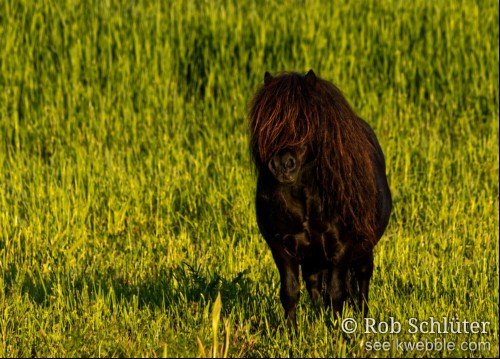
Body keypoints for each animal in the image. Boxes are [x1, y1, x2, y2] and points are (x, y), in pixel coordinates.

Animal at [248, 70, 392, 330]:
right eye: (268, 123)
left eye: (305, 120)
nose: (282, 164)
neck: (307, 203)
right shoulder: (281, 248)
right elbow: (290, 292)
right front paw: (291, 333)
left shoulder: (342, 248)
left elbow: (337, 293)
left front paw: (338, 332)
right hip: (313, 259)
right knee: (316, 288)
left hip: (363, 249)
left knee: (362, 280)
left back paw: (363, 319)